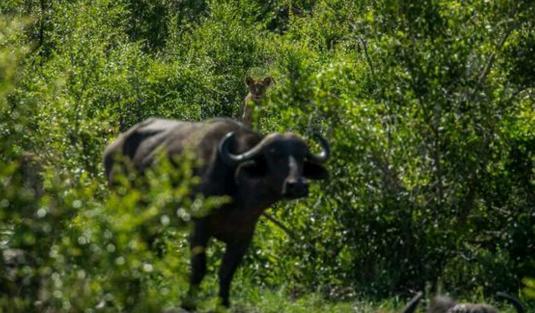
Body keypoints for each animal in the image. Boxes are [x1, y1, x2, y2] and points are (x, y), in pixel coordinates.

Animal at [102, 117, 328, 308]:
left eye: (302, 157)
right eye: (274, 154)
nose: (297, 185)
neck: (239, 193)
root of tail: (113, 148)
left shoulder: (244, 235)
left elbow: (227, 271)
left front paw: (223, 303)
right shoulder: (199, 228)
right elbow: (199, 267)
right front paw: (188, 302)